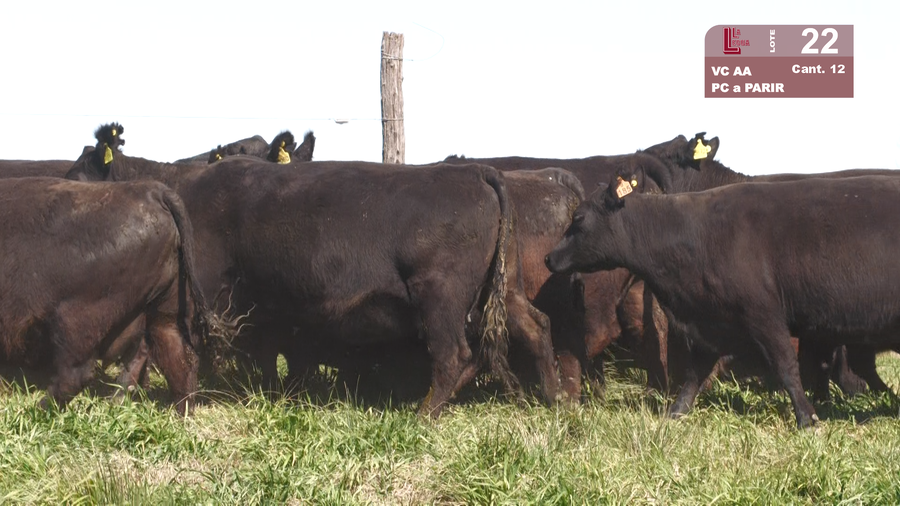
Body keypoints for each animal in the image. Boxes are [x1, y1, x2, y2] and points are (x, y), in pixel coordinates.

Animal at [0, 177, 214, 414]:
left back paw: (37, 411)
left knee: (76, 374)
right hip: (166, 310)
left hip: (76, 320)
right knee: (176, 356)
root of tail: (152, 191)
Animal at [66, 123, 562, 416]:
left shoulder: (197, 289)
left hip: (439, 296)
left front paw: (125, 393)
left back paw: (423, 414)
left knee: (454, 354)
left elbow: (153, 343)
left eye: (82, 168)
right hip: (506, 288)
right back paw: (557, 400)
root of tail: (477, 172)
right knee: (535, 325)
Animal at [546, 172, 900, 428]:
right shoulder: (711, 322)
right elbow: (694, 374)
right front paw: (675, 413)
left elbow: (786, 366)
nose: (549, 257)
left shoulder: (764, 314)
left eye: (578, 219)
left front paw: (807, 417)